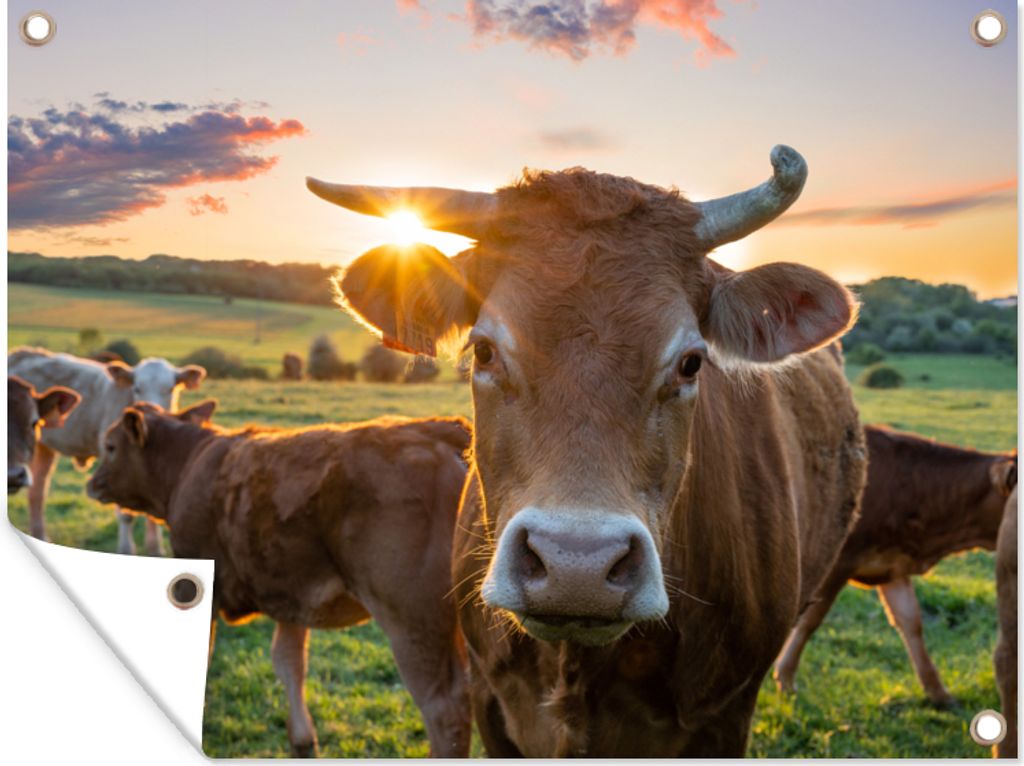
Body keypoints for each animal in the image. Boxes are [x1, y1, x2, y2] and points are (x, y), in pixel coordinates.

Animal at [8, 347, 205, 554]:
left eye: (171, 389)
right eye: (137, 388)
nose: (153, 409)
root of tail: (22, 352)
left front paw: (156, 550)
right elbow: (126, 514)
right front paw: (127, 550)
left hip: (43, 447)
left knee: (37, 492)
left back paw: (40, 536)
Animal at [86, 402, 472, 758]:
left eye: (110, 446)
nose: (92, 483)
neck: (188, 464)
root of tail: (439, 430)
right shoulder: (292, 596)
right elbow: (289, 663)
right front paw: (302, 739)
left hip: (413, 622)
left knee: (446, 710)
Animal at [773, 425, 1018, 706]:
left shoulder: (892, 566)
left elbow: (911, 622)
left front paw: (938, 692)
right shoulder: (839, 563)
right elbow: (810, 620)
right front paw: (785, 678)